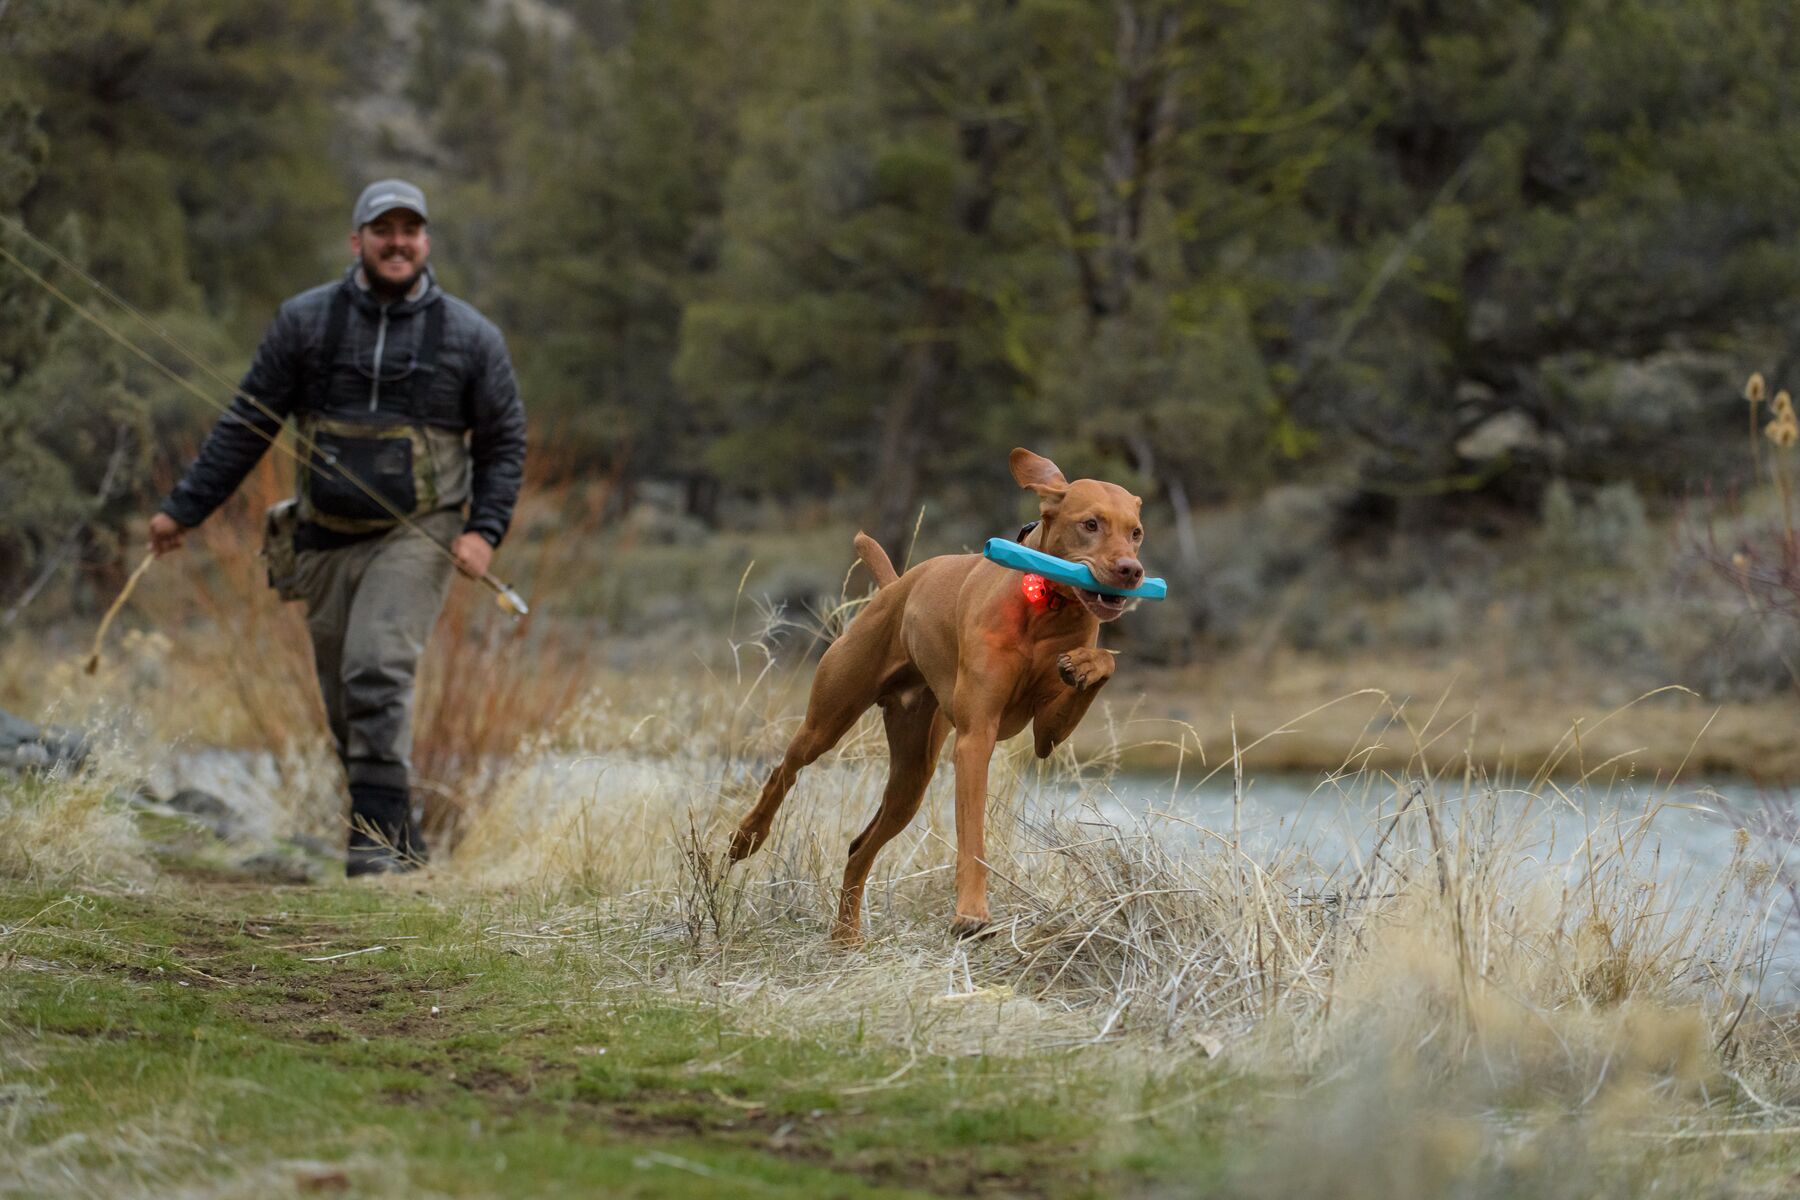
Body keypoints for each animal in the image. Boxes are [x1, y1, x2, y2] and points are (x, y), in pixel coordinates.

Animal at [723, 446, 1144, 942]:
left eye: (1136, 533)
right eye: (1090, 524)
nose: (1132, 571)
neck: (1044, 604)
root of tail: (895, 586)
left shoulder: (1048, 733)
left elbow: (1103, 667)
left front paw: (1085, 663)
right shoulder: (975, 737)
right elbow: (972, 835)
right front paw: (972, 913)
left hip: (913, 772)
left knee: (859, 848)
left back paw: (846, 939)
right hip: (827, 720)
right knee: (784, 770)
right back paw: (747, 837)